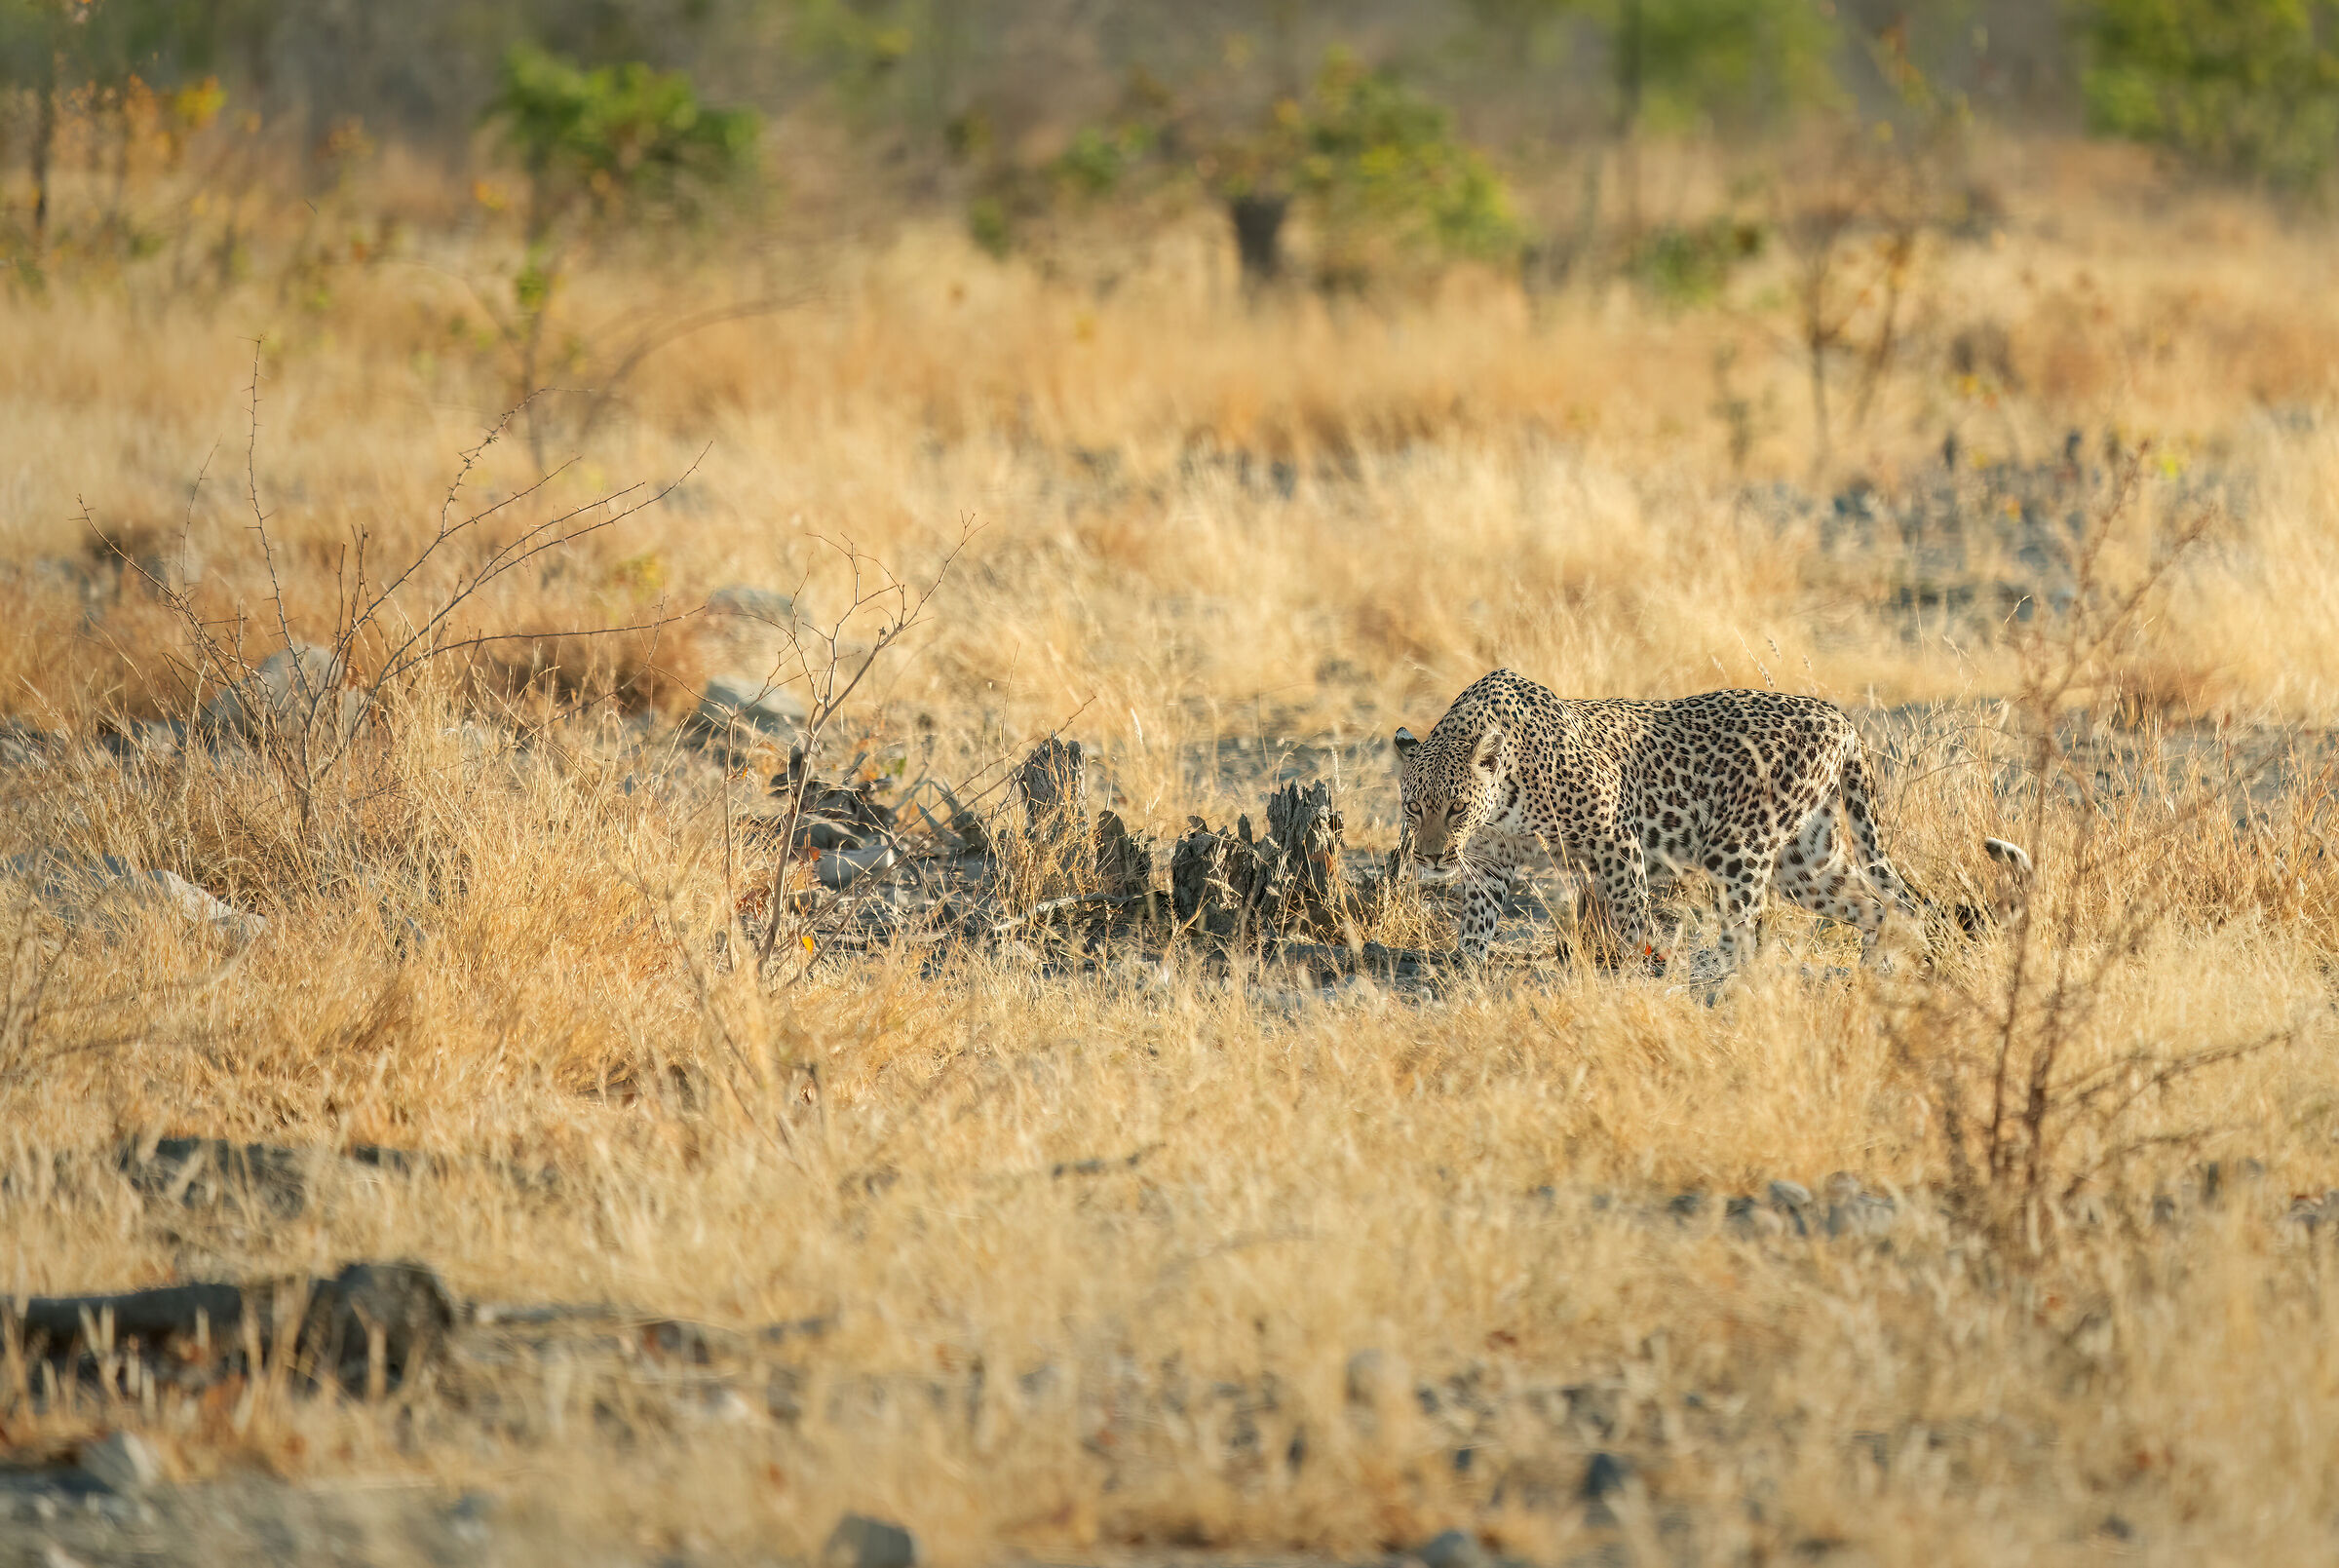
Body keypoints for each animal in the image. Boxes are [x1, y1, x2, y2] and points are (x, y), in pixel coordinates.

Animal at [1394, 668, 1970, 972]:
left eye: (1456, 808)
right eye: (1414, 808)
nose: (1431, 857)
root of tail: (1840, 717)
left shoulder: (1613, 835)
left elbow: (1630, 913)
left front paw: (1637, 969)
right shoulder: (1490, 859)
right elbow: (1476, 919)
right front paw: (1465, 972)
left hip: (1737, 847)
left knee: (1743, 934)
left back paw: (1718, 985)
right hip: (1805, 862)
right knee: (1880, 908)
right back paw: (1873, 973)